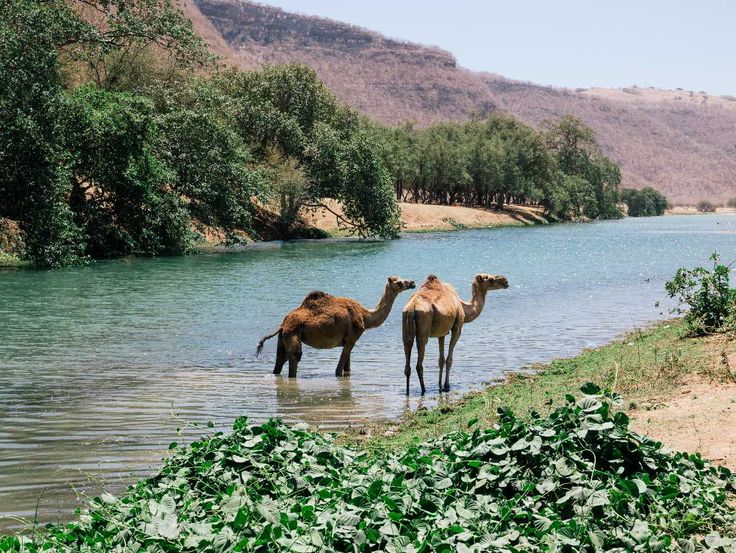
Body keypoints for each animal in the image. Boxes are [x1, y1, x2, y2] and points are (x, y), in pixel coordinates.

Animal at [257, 276, 415, 378]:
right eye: (399, 282)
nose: (412, 282)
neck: (365, 316)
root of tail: (283, 324)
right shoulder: (352, 338)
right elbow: (339, 370)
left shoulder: (348, 341)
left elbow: (347, 368)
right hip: (293, 333)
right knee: (294, 357)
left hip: (283, 338)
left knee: (280, 360)